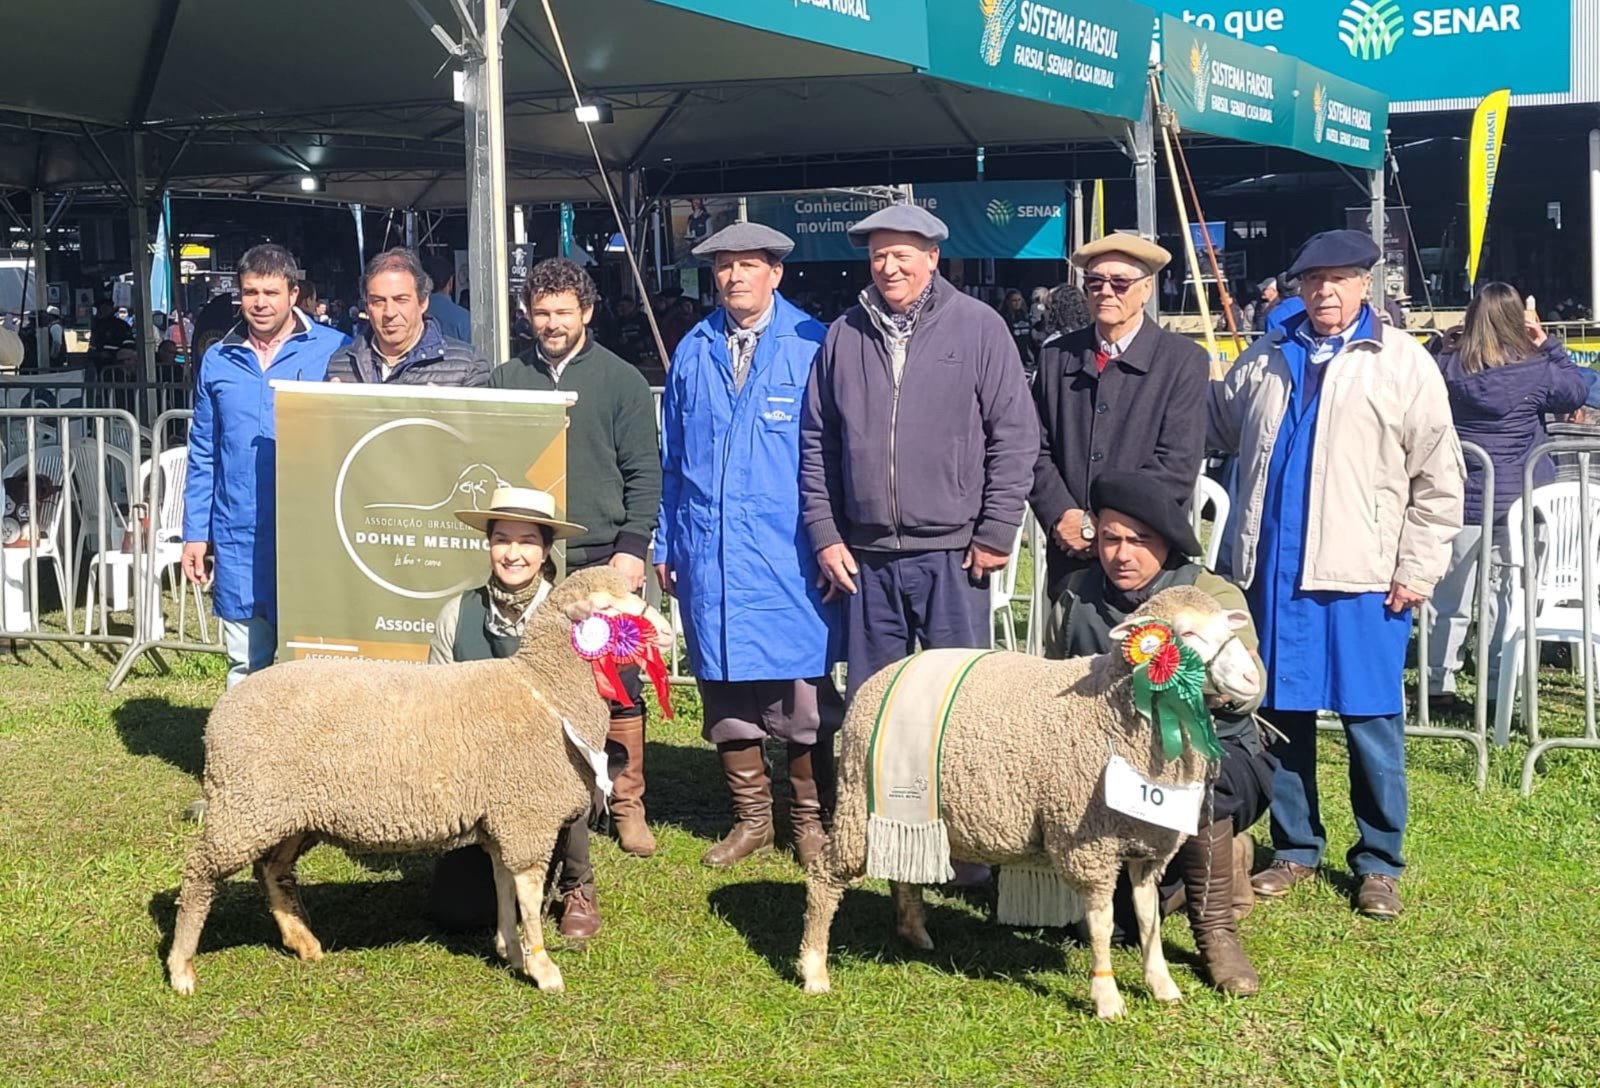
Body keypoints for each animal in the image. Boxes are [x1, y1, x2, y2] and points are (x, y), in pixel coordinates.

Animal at [162, 566, 662, 998]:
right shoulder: (526, 817)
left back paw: (303, 941)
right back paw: (181, 967)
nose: (664, 632)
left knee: (271, 870)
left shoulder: (505, 820)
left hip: (288, 813)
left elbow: (504, 887)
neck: (547, 690)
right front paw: (542, 968)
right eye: (612, 607)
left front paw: (512, 952)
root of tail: (220, 714)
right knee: (200, 871)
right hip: (246, 805)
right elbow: (528, 893)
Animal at [800, 585, 1260, 1017]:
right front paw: (1107, 997)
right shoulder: (1088, 844)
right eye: (1185, 633)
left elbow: (1149, 918)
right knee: (824, 876)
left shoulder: (1150, 842)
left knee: (904, 869)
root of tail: (885, 674)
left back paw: (915, 933)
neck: (1114, 707)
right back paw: (814, 969)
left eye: (1228, 626)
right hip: (861, 800)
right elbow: (1101, 923)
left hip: (907, 809)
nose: (1252, 680)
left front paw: (1162, 984)